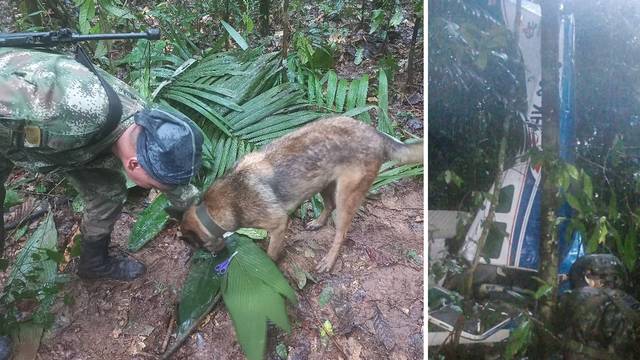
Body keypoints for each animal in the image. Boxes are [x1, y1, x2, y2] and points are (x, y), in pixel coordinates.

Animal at [178, 116, 422, 272]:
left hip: (346, 196)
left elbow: (271, 253)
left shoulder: (278, 224)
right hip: (323, 183)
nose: (216, 257)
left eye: (198, 246)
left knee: (341, 232)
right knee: (329, 205)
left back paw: (329, 260)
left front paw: (269, 268)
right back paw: (317, 223)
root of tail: (377, 135)